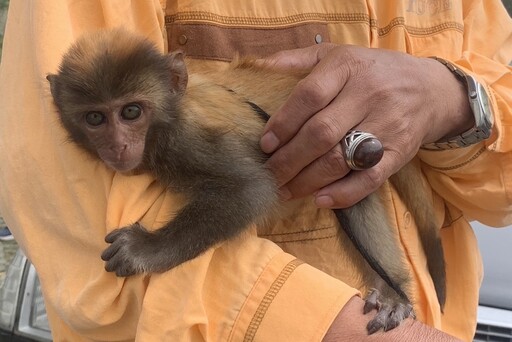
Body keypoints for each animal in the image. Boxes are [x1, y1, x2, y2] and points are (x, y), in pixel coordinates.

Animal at [48, 28, 446, 332]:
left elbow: (250, 190)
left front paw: (145, 250)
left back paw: (393, 293)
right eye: (95, 118)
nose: (117, 145)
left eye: (131, 112)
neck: (165, 121)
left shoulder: (187, 140)